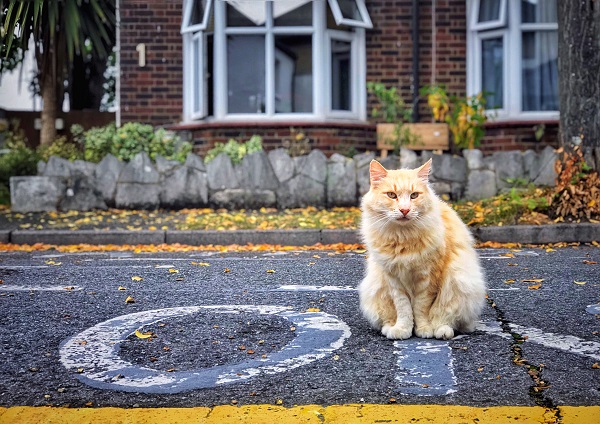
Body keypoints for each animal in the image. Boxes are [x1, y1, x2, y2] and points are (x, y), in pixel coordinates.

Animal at [358, 159, 486, 342]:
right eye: (391, 195)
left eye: (414, 195)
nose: (404, 210)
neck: (403, 238)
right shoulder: (394, 279)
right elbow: (404, 309)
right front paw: (402, 330)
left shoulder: (428, 278)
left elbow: (421, 308)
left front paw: (424, 329)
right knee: (388, 317)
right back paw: (389, 328)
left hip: (459, 282)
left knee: (449, 319)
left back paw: (442, 331)